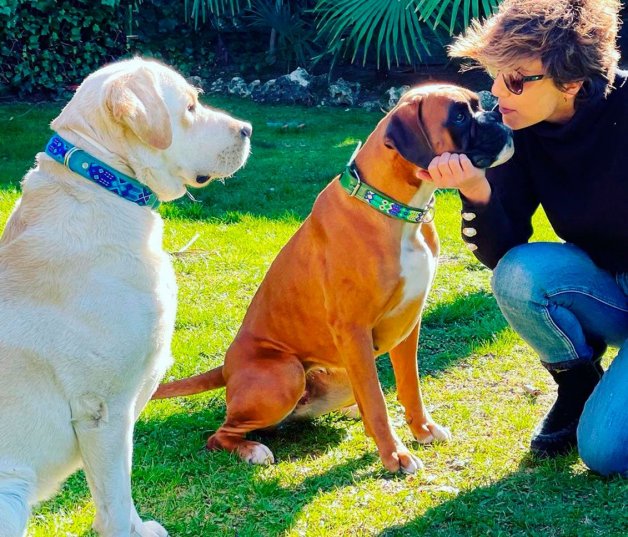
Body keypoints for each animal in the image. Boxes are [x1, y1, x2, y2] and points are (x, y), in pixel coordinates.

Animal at [155, 84, 512, 474]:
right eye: (460, 115)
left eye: (479, 104)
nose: (498, 115)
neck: (394, 209)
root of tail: (227, 367)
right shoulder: (353, 329)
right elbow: (377, 399)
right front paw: (395, 454)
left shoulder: (408, 323)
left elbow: (409, 386)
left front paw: (423, 429)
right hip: (287, 374)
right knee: (219, 435)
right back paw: (252, 450)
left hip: (338, 373)